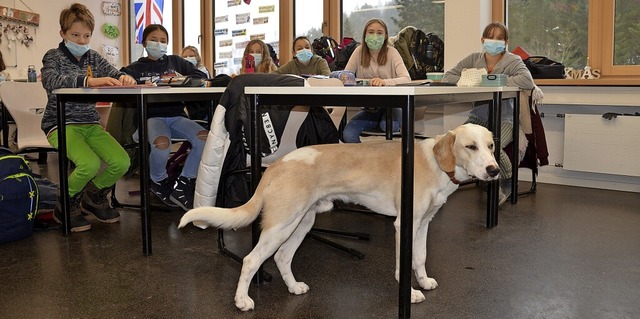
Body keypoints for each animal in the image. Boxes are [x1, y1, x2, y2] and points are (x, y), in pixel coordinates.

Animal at [179, 124, 500, 312]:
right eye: (470, 146)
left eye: (491, 146)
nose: (494, 171)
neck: (435, 162)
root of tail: (279, 164)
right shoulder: (404, 225)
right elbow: (403, 265)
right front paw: (409, 294)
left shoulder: (422, 224)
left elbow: (419, 259)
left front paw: (423, 282)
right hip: (281, 225)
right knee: (250, 260)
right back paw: (242, 301)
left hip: (302, 223)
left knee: (282, 257)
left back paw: (294, 288)